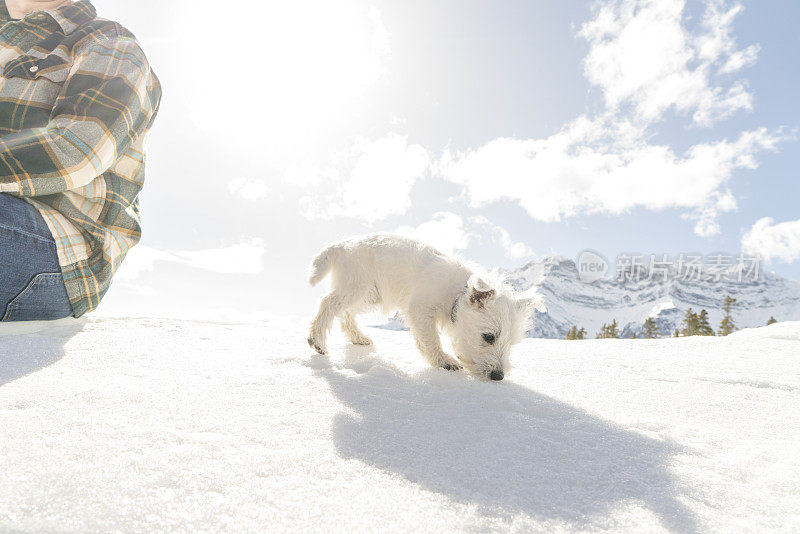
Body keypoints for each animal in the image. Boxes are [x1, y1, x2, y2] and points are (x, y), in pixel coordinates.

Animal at [308, 236, 532, 382]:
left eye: (511, 343)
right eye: (489, 337)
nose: (498, 376)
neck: (456, 293)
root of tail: (342, 245)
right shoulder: (420, 310)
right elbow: (430, 339)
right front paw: (443, 361)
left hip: (369, 294)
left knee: (345, 312)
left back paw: (358, 337)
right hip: (356, 287)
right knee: (327, 303)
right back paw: (317, 340)